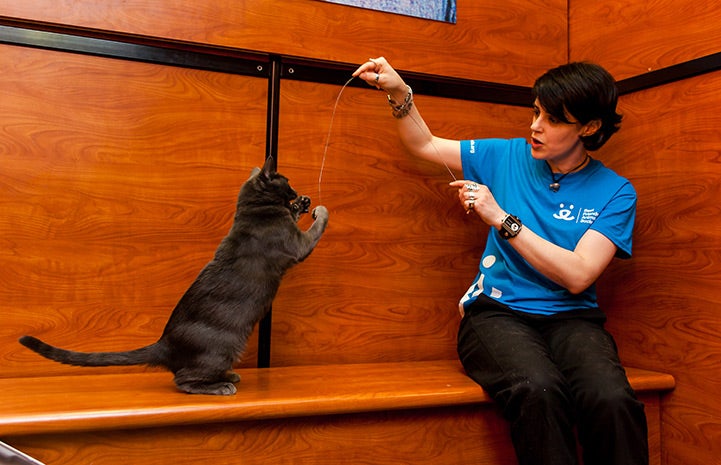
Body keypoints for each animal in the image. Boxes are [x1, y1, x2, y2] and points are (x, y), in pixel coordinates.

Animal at [19, 157, 330, 396]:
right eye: (285, 180)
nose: (295, 191)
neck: (252, 210)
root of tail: (164, 343)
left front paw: (302, 205)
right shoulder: (297, 244)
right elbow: (316, 228)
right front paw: (319, 209)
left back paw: (228, 377)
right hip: (223, 347)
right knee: (183, 379)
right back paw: (221, 385)